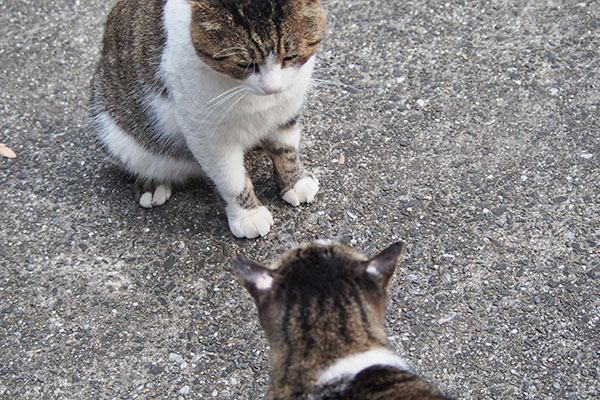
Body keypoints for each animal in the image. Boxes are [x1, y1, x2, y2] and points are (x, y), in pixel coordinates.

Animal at [89, 0, 326, 238]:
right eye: (244, 64)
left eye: (290, 56)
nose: (273, 88)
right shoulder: (208, 136)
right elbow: (231, 179)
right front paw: (247, 214)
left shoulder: (287, 107)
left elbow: (286, 149)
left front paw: (294, 181)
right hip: (115, 132)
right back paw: (152, 182)